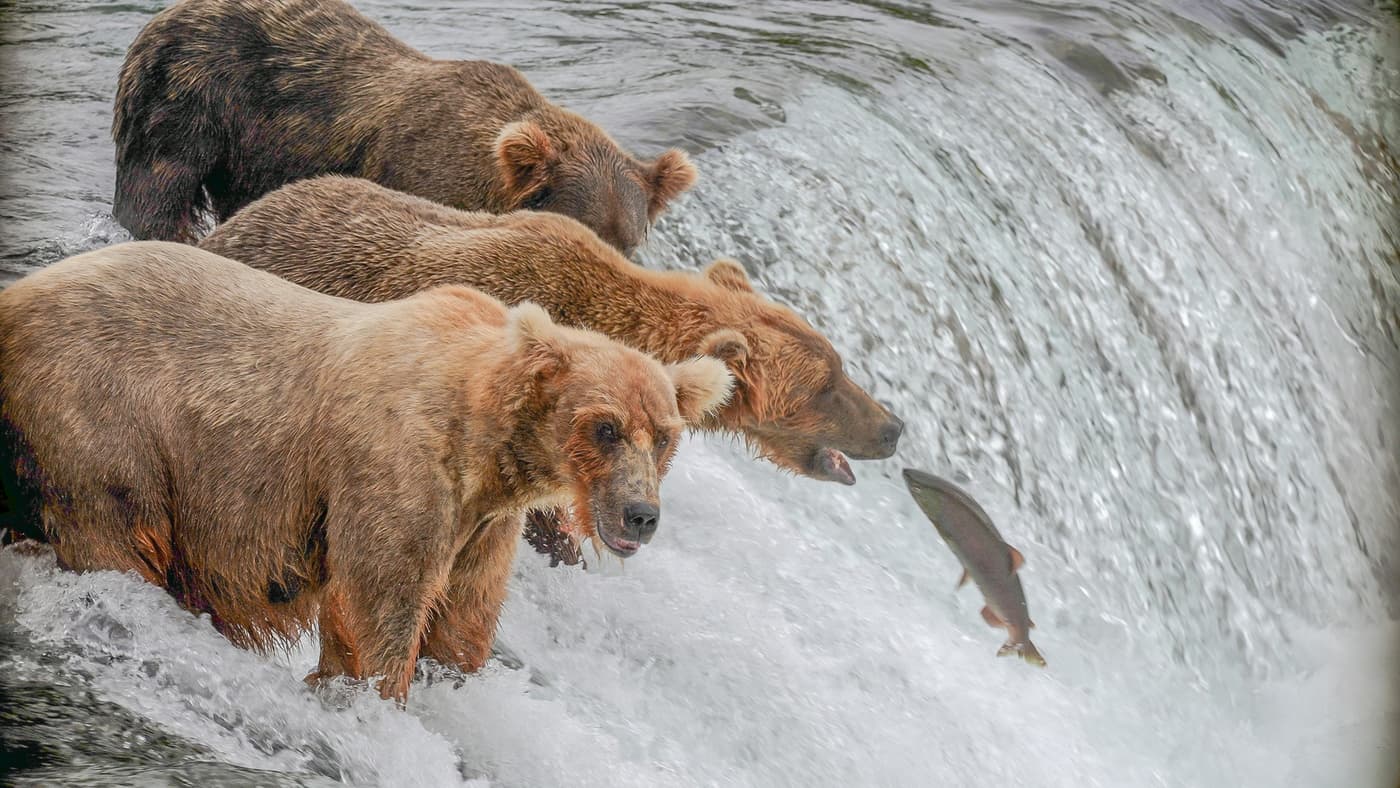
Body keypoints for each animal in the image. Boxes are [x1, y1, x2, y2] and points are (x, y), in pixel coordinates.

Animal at [0, 241, 732, 703]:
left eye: (664, 436)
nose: (642, 514)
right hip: (101, 419)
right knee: (117, 532)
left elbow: (461, 625)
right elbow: (379, 607)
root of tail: (16, 299)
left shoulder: (486, 524)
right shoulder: (395, 471)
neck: (485, 447)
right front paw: (372, 695)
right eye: (605, 427)